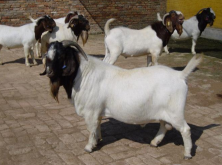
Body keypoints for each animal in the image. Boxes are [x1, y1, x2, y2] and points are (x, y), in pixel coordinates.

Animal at [41, 40, 203, 160]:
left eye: (61, 55)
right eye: (48, 56)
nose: (49, 72)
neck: (84, 74)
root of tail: (180, 75)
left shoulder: (91, 112)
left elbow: (91, 129)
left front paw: (89, 147)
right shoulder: (97, 112)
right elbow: (97, 127)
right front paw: (98, 141)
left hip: (176, 113)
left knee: (185, 130)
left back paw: (187, 154)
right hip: (165, 112)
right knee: (164, 126)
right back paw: (154, 142)